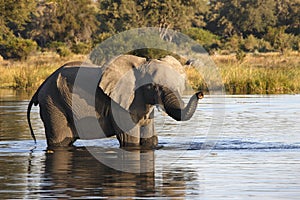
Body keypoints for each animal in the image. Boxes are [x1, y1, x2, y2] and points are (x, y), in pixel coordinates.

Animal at [27, 54, 204, 148]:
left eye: (180, 86)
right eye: (154, 87)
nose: (200, 93)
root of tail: (42, 84)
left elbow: (150, 140)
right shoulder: (120, 104)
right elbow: (130, 140)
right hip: (52, 103)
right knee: (59, 142)